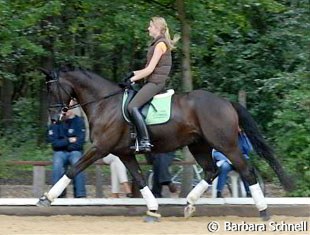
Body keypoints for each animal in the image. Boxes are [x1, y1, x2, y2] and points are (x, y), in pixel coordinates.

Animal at [37, 67, 294, 221]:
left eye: (51, 89)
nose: (54, 119)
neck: (104, 103)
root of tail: (226, 102)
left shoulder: (100, 148)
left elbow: (73, 169)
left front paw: (46, 198)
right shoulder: (124, 154)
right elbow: (140, 180)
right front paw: (152, 210)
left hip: (226, 144)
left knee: (246, 171)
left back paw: (264, 211)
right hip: (198, 145)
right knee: (211, 170)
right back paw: (189, 204)